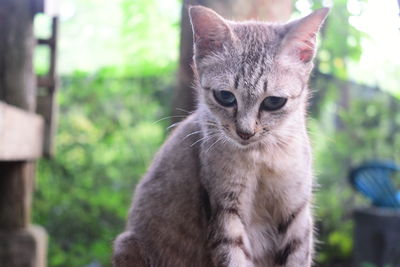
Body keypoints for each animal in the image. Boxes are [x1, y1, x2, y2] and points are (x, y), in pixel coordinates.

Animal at [112, 6, 328, 267]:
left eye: (274, 102)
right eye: (225, 97)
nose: (245, 132)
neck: (260, 158)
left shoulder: (296, 212)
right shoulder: (224, 210)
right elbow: (233, 256)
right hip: (127, 243)